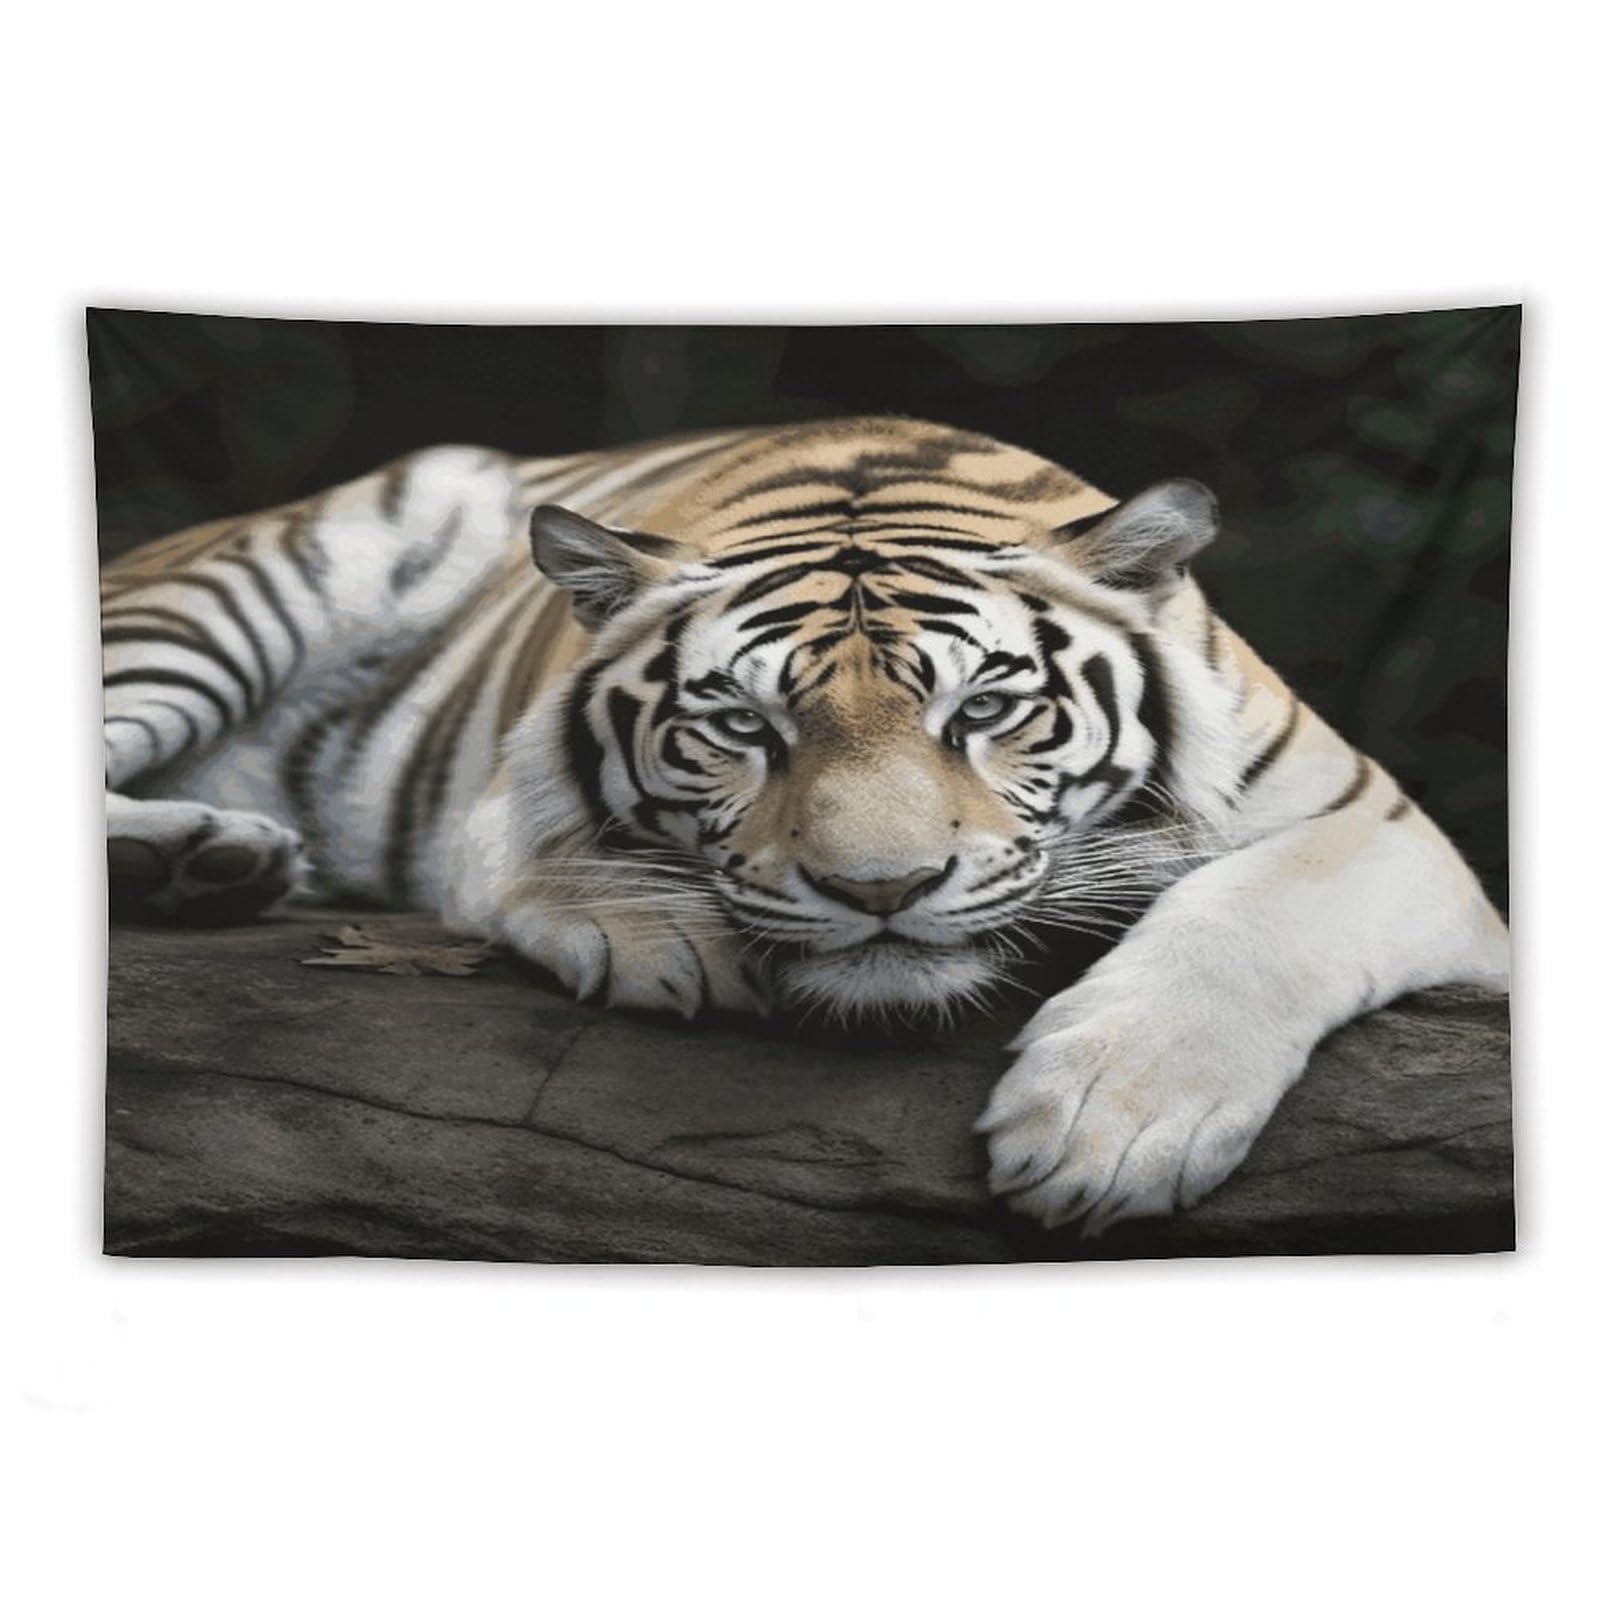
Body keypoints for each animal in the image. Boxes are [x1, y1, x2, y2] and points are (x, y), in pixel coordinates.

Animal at [100, 416, 1511, 1234]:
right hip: (241, 585)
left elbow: (1260, 911)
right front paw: (662, 934)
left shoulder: (1380, 823)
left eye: (984, 707)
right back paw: (188, 856)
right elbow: (543, 850)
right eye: (740, 723)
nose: (879, 889)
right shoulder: (502, 784)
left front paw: (1110, 1127)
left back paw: (207, 859)